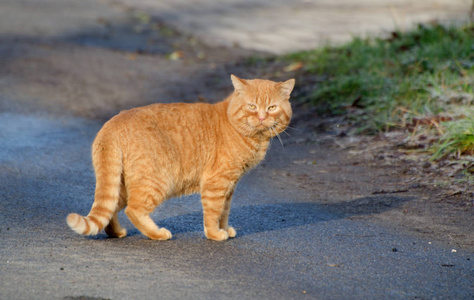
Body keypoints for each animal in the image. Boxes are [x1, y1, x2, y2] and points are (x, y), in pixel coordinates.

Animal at [66, 75, 294, 241]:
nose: (262, 117)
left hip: (122, 183)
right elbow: (213, 212)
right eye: (252, 106)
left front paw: (225, 228)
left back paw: (117, 232)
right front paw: (215, 234)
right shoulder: (217, 182)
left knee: (112, 206)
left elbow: (224, 211)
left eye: (272, 107)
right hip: (158, 181)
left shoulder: (230, 185)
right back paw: (158, 233)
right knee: (133, 209)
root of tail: (113, 123)